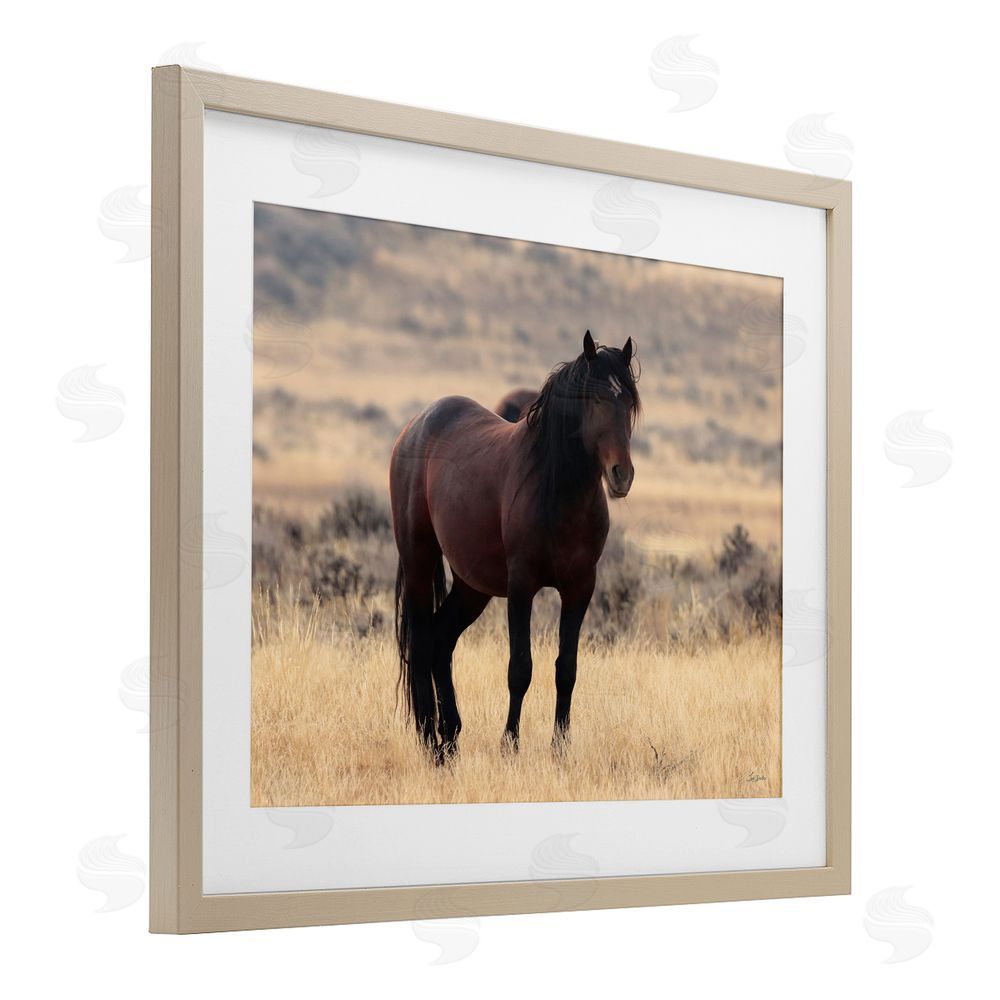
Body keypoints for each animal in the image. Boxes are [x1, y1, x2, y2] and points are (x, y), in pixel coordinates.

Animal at [389, 330, 639, 761]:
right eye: (594, 400)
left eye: (628, 402)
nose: (621, 474)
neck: (558, 494)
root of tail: (415, 425)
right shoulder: (522, 587)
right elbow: (520, 667)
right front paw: (510, 744)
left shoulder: (580, 589)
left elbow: (566, 669)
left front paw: (560, 749)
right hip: (419, 560)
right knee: (421, 642)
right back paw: (430, 742)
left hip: (472, 585)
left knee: (441, 640)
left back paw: (450, 738)